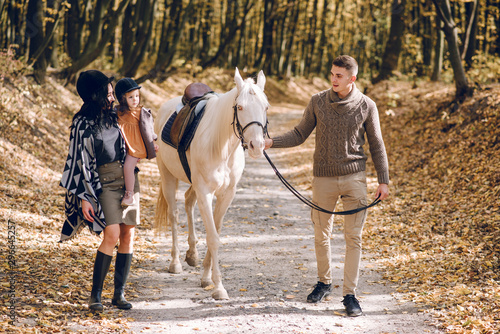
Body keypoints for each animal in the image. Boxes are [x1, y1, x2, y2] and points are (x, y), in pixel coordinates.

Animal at [154, 69, 270, 298]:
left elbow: (215, 230)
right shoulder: (206, 193)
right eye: (240, 107)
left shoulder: (227, 194)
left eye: (266, 107)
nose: (257, 146)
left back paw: (191, 254)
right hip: (168, 176)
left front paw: (206, 277)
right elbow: (214, 238)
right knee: (174, 215)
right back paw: (175, 263)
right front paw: (219, 287)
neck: (222, 146)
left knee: (188, 201)